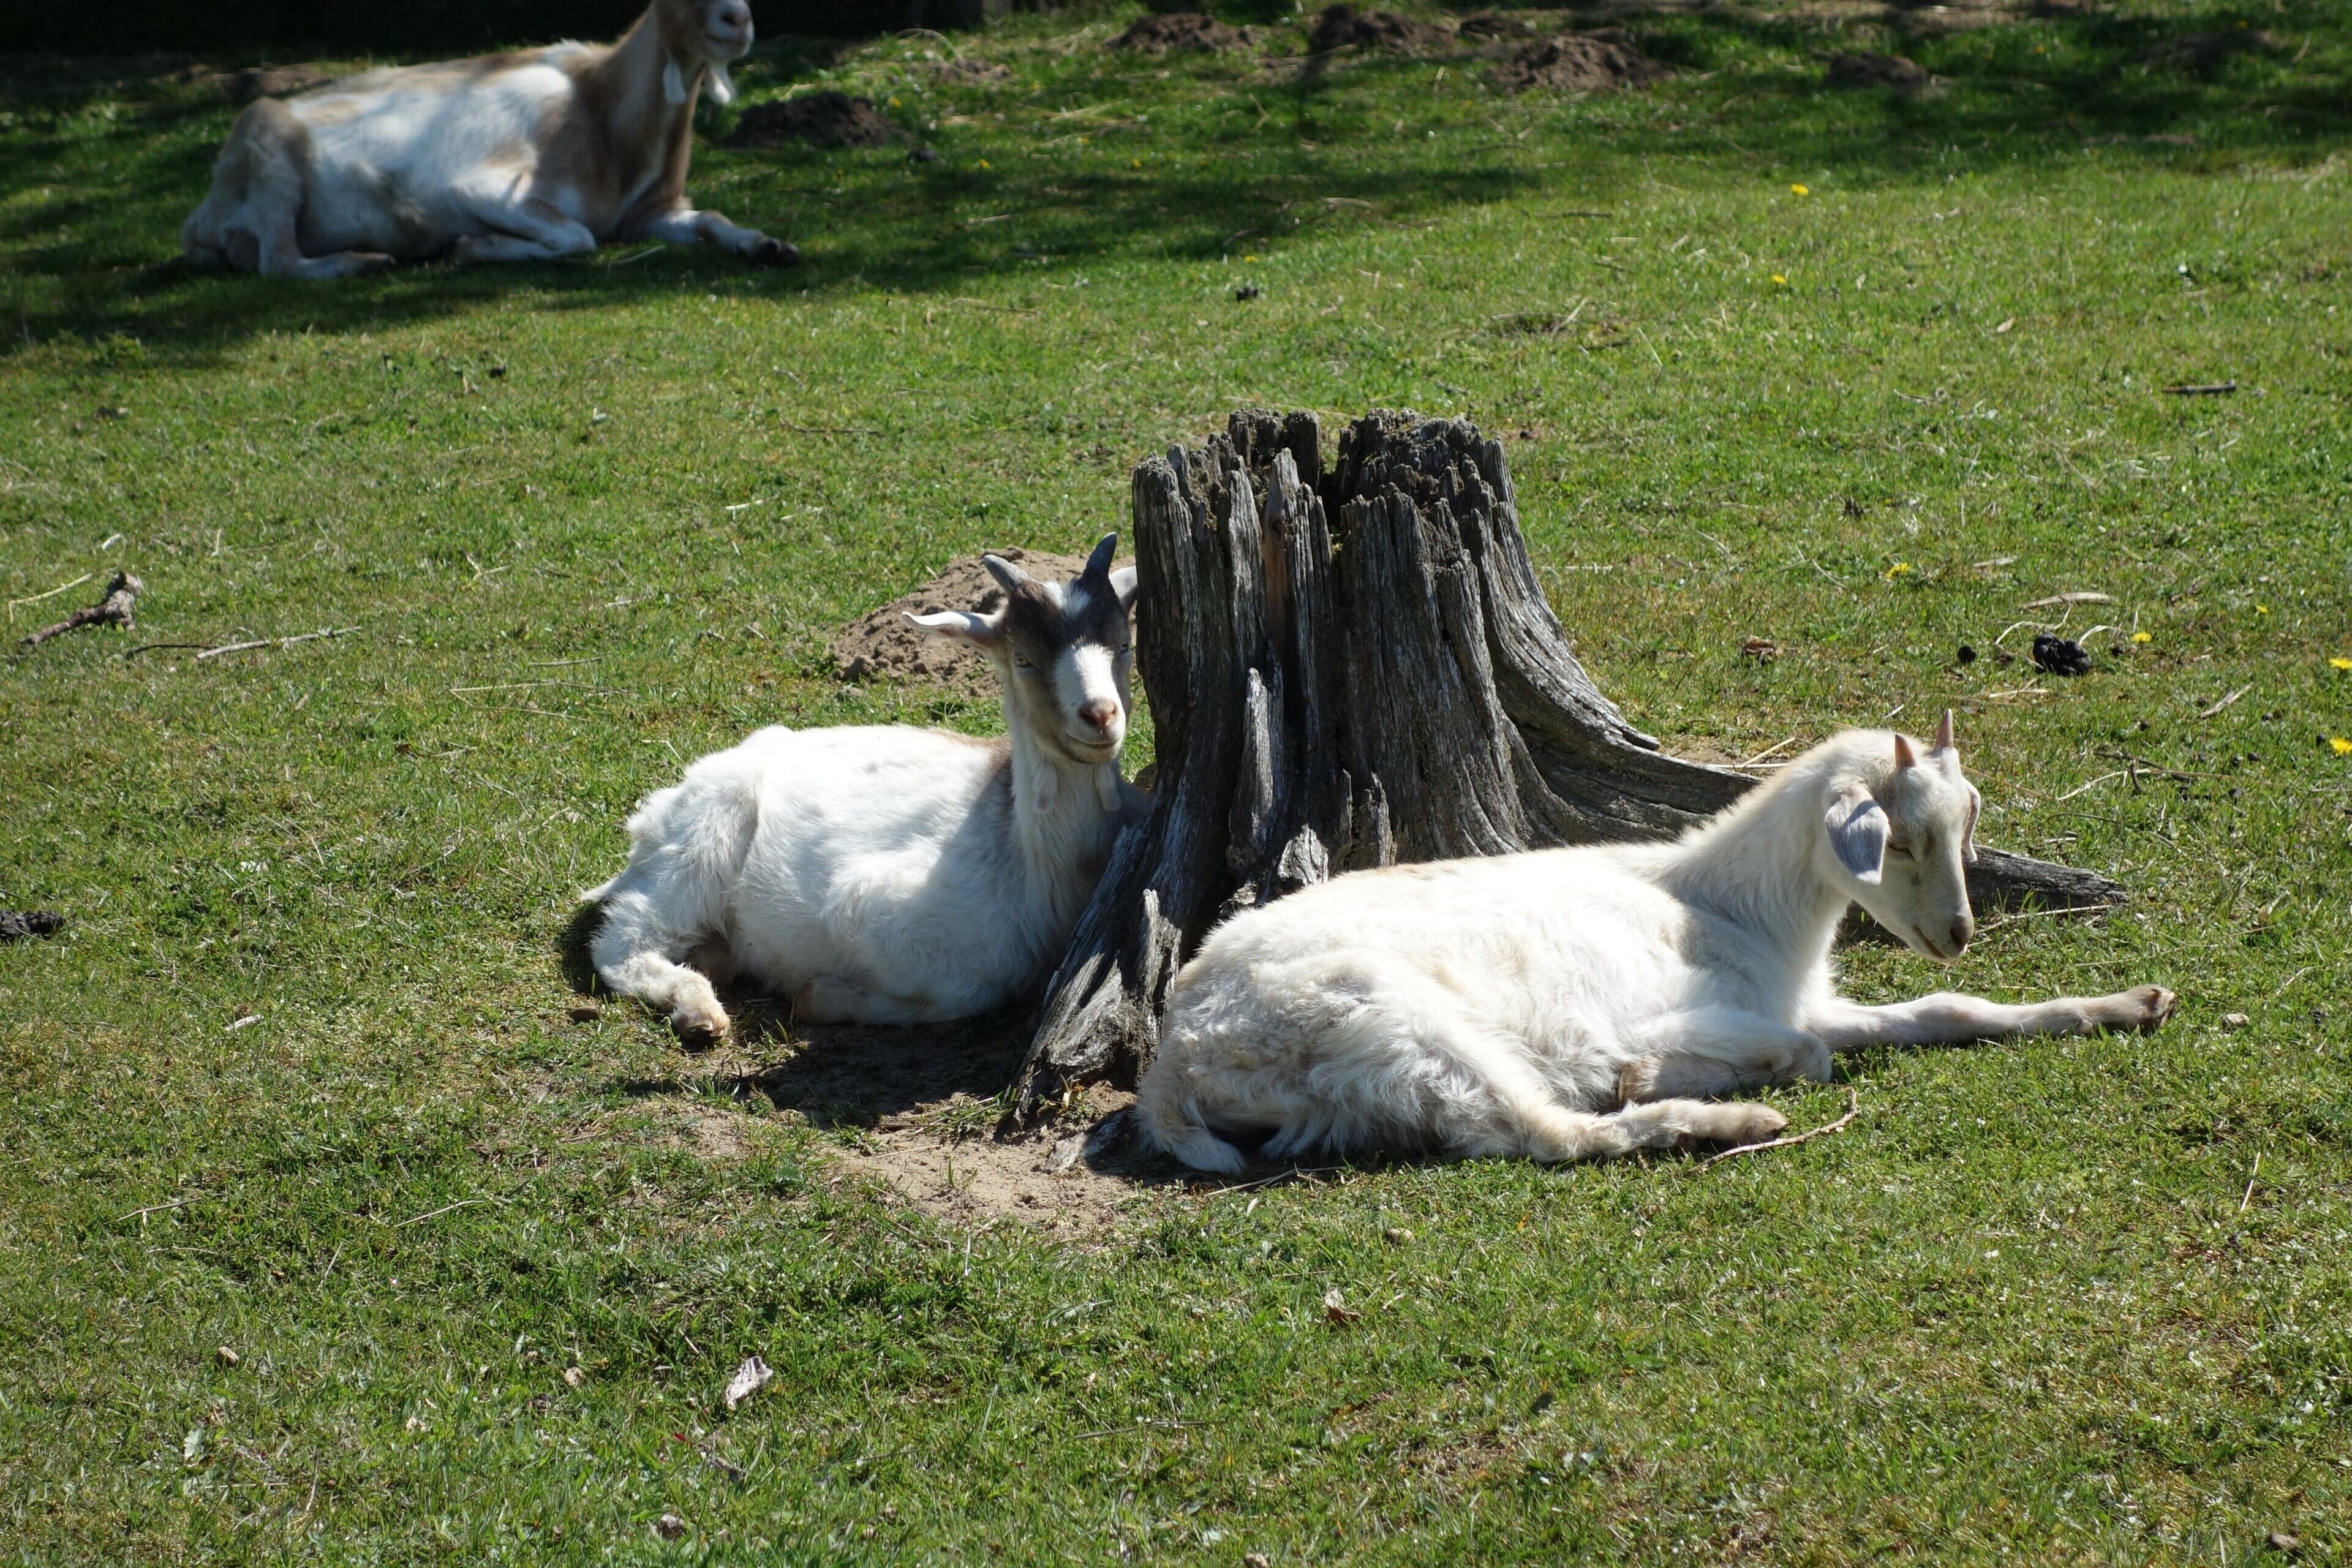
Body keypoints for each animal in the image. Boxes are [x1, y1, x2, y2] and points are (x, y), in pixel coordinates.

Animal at [181, 0, 792, 279]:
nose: (736, 18)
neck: (600, 109)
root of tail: (201, 216)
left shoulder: (646, 214)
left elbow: (711, 219)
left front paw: (769, 245)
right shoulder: (478, 186)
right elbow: (577, 237)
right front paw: (471, 246)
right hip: (267, 144)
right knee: (278, 260)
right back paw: (365, 261)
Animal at [584, 536, 1142, 1038]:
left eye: (1125, 644)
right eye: (1023, 659)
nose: (1100, 715)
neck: (1038, 863)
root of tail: (655, 815)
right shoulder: (872, 907)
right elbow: (969, 991)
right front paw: (819, 997)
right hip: (700, 844)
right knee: (622, 941)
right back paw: (698, 1009)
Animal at [1137, 713, 2175, 1172]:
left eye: (1965, 824)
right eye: (1902, 840)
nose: (1959, 932)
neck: (1733, 907)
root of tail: (1174, 1060)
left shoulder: (1802, 998)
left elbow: (1943, 1010)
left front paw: (2128, 1003)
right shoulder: (1700, 1012)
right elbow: (1805, 1055)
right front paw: (1651, 1074)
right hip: (1390, 1022)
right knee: (1540, 1134)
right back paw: (1728, 1120)